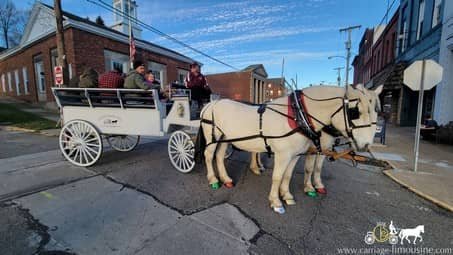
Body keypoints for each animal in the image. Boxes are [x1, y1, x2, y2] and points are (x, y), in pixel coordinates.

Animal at [200, 85, 378, 213]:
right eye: (355, 112)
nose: (366, 144)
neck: (298, 116)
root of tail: (210, 104)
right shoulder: (283, 155)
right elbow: (278, 176)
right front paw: (276, 201)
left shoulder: (295, 154)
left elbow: (288, 175)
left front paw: (286, 195)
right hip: (213, 136)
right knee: (208, 155)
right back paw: (213, 180)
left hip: (225, 138)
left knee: (219, 156)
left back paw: (226, 179)